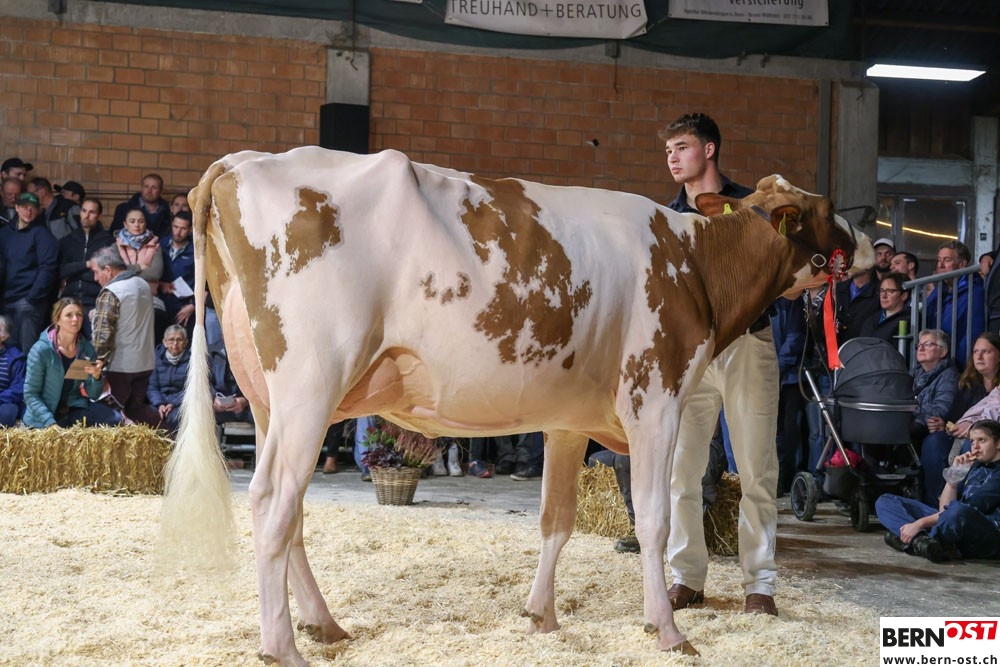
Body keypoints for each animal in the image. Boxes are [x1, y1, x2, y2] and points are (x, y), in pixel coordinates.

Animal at [160, 146, 873, 665]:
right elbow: (654, 520)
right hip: (312, 380)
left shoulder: (567, 421)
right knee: (272, 503)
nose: (871, 243)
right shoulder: (656, 400)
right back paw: (282, 645)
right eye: (829, 207)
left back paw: (324, 624)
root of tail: (242, 161)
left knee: (293, 510)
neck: (694, 263)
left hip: (270, 399)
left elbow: (556, 520)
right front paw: (669, 631)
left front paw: (542, 617)